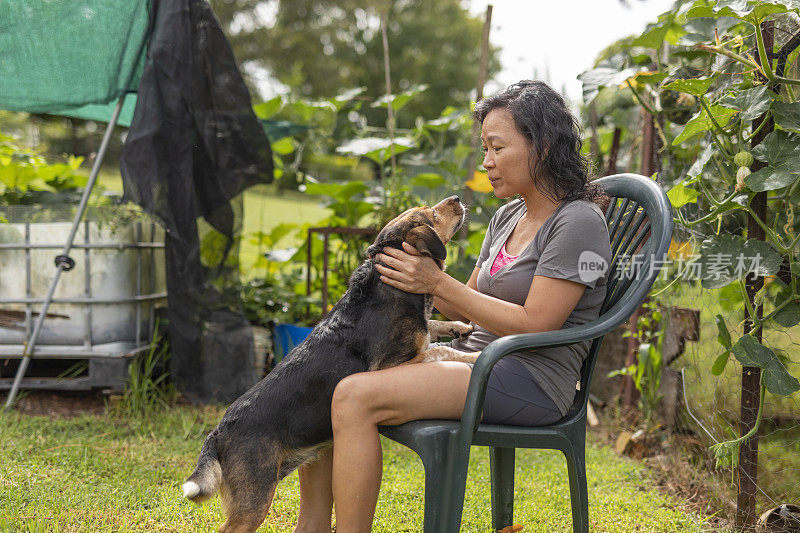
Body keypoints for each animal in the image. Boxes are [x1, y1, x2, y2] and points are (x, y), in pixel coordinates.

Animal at [184, 195, 478, 532]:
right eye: (431, 214)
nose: (457, 198)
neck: (390, 285)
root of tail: (219, 431)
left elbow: (434, 330)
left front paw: (460, 327)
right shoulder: (393, 365)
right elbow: (444, 352)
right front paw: (474, 356)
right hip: (254, 500)